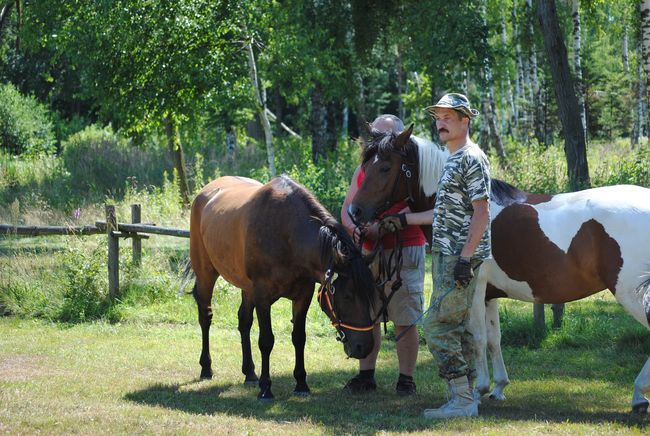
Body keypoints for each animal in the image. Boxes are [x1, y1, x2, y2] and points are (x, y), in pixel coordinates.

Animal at [187, 175, 374, 400]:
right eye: (347, 296)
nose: (365, 347)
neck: (287, 234)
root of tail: (204, 193)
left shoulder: (303, 296)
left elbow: (299, 338)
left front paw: (301, 384)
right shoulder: (262, 297)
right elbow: (266, 340)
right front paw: (266, 388)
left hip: (246, 288)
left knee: (244, 321)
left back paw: (249, 372)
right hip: (206, 274)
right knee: (205, 317)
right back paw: (206, 368)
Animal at [350, 127, 650, 414]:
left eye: (385, 167)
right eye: (366, 166)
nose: (355, 211)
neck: (468, 212)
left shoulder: (473, 289)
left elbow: (477, 338)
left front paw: (478, 390)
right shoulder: (488, 295)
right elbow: (494, 338)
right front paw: (498, 387)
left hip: (629, 292)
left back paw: (638, 395)